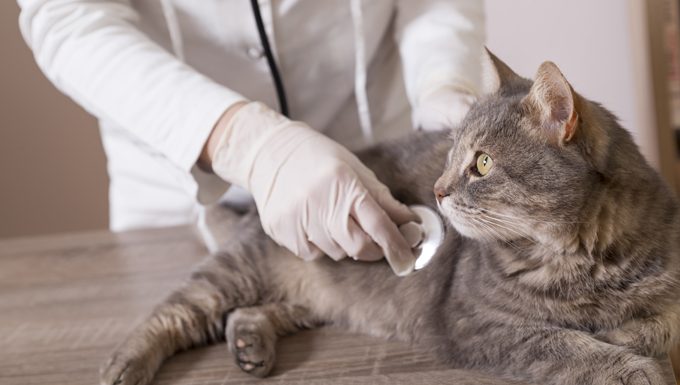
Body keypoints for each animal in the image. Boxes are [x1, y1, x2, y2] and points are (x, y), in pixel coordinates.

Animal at [98, 51, 680, 384]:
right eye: (451, 155)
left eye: (482, 163)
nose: (439, 190)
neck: (584, 262)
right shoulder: (477, 323)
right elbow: (567, 344)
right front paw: (633, 368)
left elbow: (654, 324)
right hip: (237, 270)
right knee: (175, 312)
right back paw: (122, 366)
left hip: (313, 298)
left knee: (249, 313)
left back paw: (249, 344)